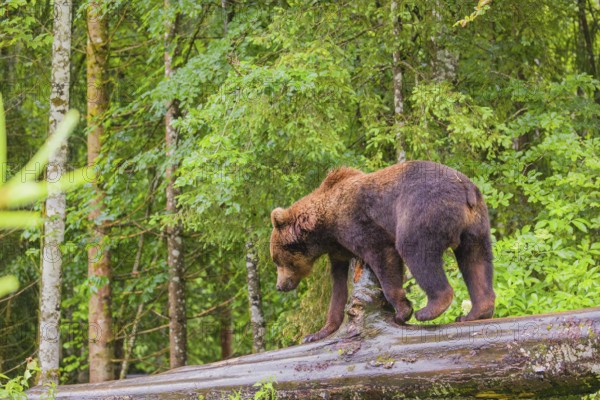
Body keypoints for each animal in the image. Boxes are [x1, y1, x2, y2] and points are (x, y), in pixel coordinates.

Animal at [270, 161, 494, 342]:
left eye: (277, 260)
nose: (280, 286)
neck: (326, 227)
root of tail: (466, 188)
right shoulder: (339, 250)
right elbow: (338, 288)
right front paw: (317, 332)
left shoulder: (358, 223)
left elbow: (382, 254)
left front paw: (402, 311)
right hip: (476, 225)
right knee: (476, 261)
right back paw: (476, 312)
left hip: (424, 210)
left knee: (415, 251)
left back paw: (429, 309)